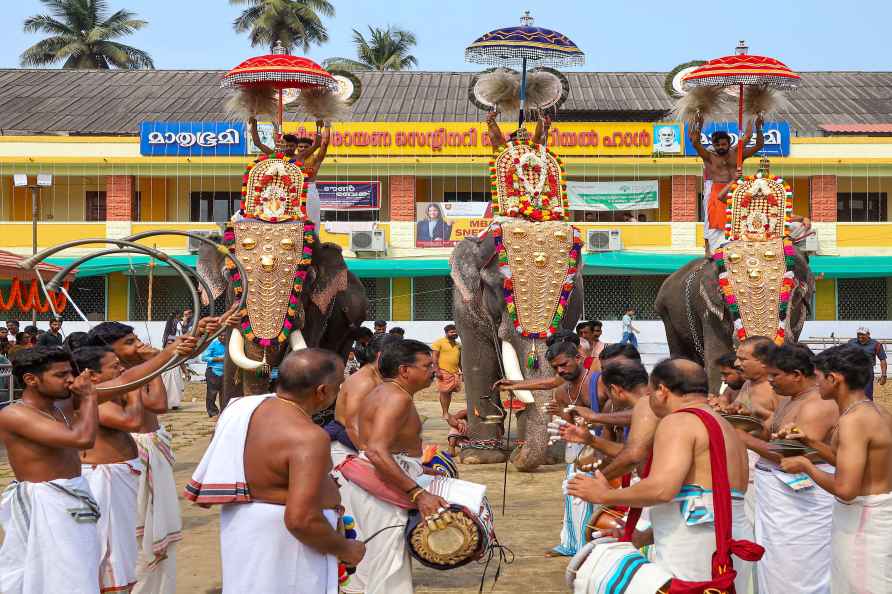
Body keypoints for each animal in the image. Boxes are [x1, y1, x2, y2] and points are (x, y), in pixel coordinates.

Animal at [446, 229, 584, 470]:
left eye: (568, 290)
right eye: (498, 287)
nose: (518, 458)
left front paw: (543, 458)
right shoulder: (465, 306)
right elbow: (478, 360)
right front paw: (478, 458)